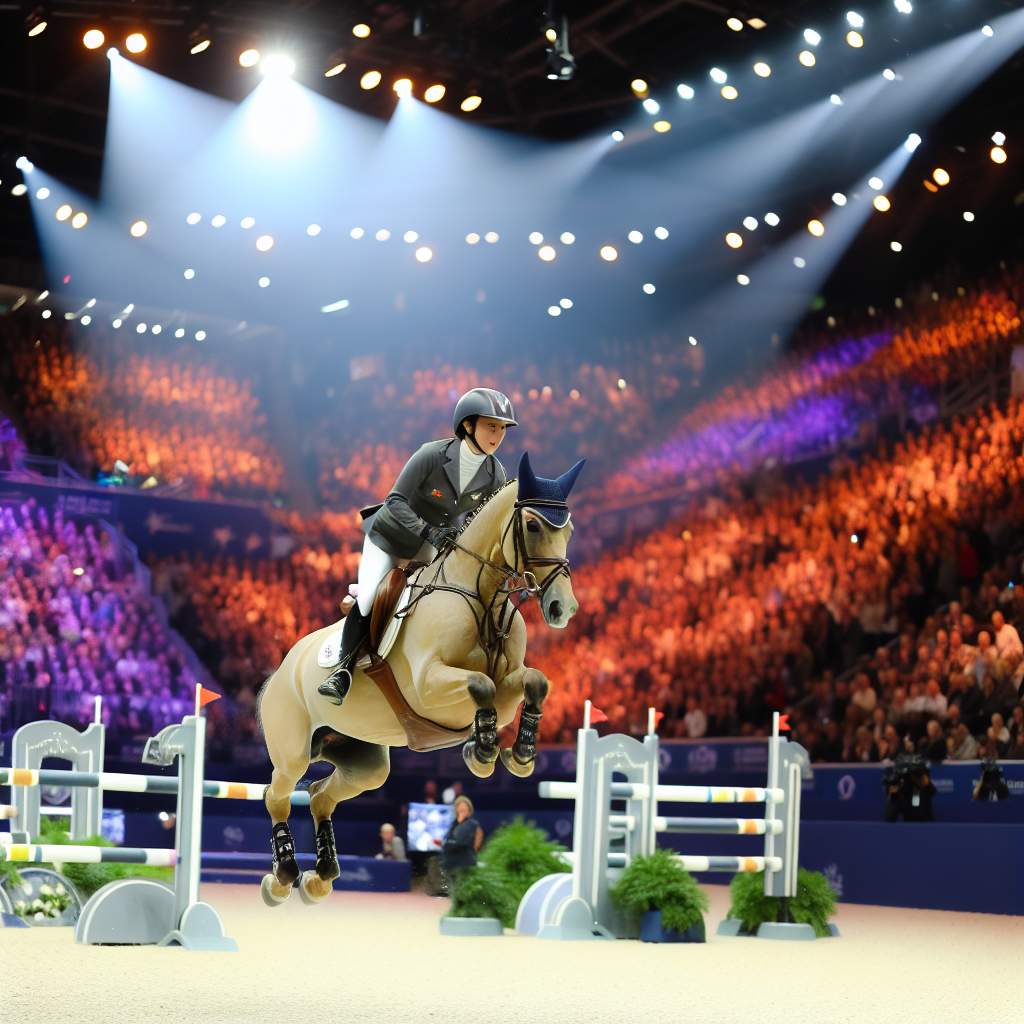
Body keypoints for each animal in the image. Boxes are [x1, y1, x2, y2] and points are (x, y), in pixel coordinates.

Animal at [256, 454, 585, 905]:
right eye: (534, 526)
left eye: (568, 530)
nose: (562, 609)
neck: (481, 595)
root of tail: (279, 671)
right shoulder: (429, 686)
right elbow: (481, 685)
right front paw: (482, 753)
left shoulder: (509, 682)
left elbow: (532, 683)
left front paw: (518, 754)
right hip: (293, 751)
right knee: (278, 794)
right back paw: (284, 874)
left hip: (363, 759)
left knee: (322, 795)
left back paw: (320, 877)